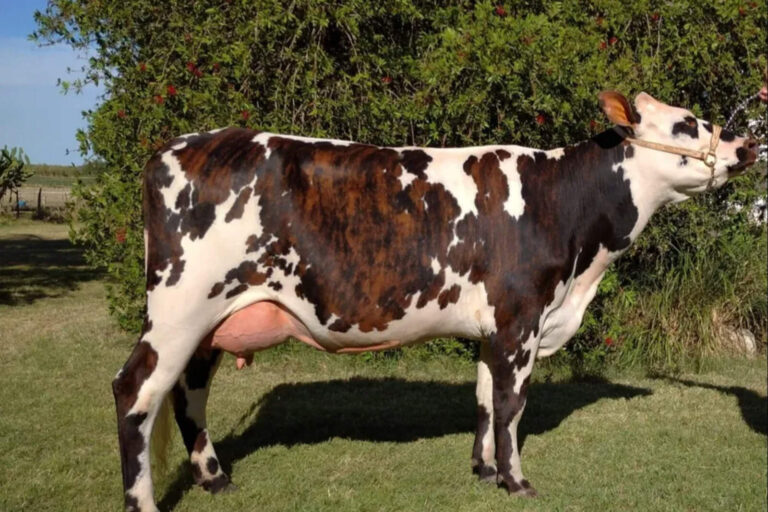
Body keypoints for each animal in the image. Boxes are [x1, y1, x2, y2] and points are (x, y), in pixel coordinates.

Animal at [112, 91, 758, 511]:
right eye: (687, 123)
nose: (748, 144)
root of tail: (179, 146)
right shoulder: (520, 319)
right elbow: (512, 406)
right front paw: (517, 482)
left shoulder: (492, 328)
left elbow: (483, 400)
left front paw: (484, 470)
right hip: (180, 307)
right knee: (136, 391)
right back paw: (143, 501)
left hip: (209, 321)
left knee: (189, 393)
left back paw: (215, 479)